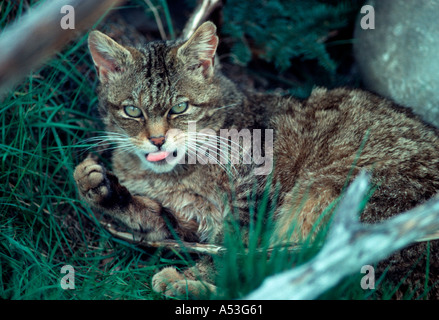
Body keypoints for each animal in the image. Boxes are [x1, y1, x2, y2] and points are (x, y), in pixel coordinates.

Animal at [74, 21, 439, 298]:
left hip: (334, 197)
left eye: (180, 107)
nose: (157, 139)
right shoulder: (187, 223)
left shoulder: (254, 192)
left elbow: (233, 246)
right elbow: (152, 216)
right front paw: (102, 189)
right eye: (132, 111)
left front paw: (194, 278)